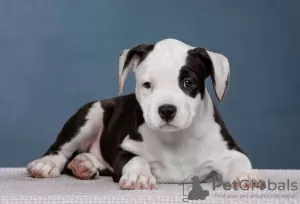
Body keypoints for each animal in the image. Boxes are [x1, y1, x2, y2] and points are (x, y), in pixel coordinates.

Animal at [26, 37, 260, 190]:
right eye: (147, 84)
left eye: (188, 82)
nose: (167, 110)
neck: (176, 139)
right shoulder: (123, 150)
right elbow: (138, 159)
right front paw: (140, 176)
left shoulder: (229, 150)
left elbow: (240, 161)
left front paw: (246, 175)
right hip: (92, 114)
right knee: (61, 149)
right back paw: (47, 164)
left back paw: (84, 164)